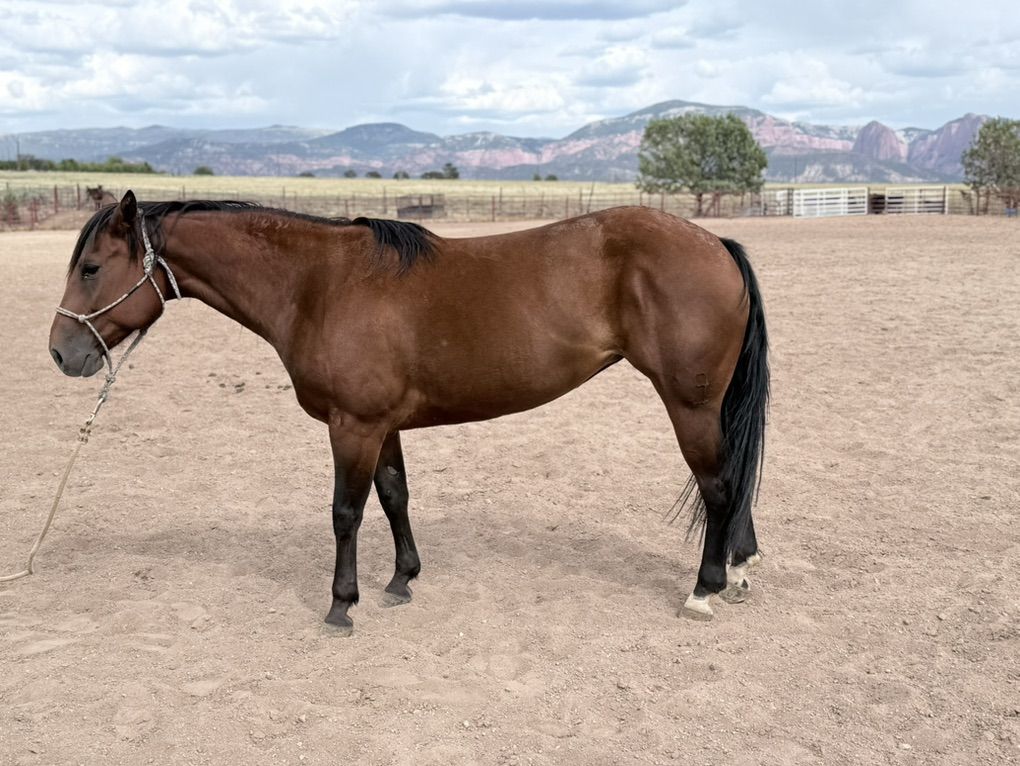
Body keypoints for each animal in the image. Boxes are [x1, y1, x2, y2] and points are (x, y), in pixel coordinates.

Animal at [48, 191, 769, 633]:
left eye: (91, 268)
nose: (61, 352)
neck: (317, 284)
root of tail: (717, 244)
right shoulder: (382, 424)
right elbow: (395, 494)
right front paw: (402, 579)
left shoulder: (353, 426)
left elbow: (345, 512)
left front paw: (342, 605)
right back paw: (738, 570)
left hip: (689, 403)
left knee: (719, 484)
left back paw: (705, 588)